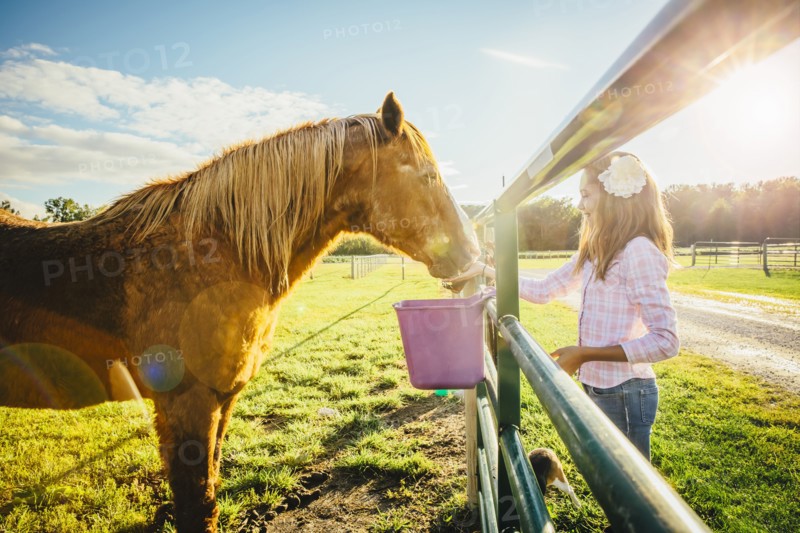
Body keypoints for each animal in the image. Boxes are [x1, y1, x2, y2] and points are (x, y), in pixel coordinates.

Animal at [0, 92, 480, 532]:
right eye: (428, 176)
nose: (472, 253)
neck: (207, 257)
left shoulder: (221, 399)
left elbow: (209, 486)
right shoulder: (187, 403)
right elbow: (196, 504)